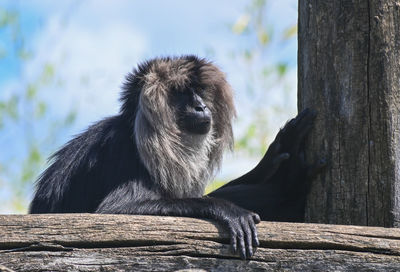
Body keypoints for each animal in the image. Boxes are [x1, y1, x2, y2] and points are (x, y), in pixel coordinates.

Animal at [29, 55, 320, 260]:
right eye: (181, 94)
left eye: (199, 92)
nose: (201, 106)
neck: (134, 130)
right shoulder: (131, 156)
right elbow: (115, 210)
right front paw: (227, 210)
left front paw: (274, 160)